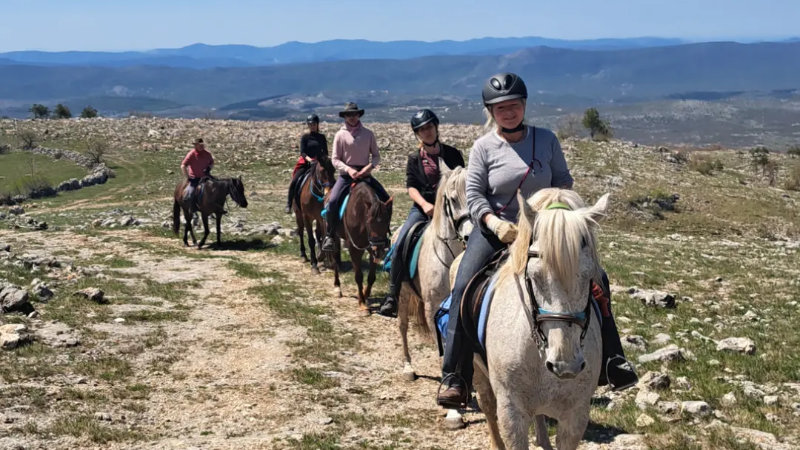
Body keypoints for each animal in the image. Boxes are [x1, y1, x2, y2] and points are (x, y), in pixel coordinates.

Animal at [330, 181, 393, 313]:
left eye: (387, 221)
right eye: (369, 222)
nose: (379, 248)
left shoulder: (372, 250)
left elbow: (371, 277)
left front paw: (365, 294)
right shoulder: (354, 249)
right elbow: (358, 276)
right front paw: (362, 303)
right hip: (332, 235)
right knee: (334, 260)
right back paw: (337, 286)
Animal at [457, 188, 609, 449]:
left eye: (591, 277)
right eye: (535, 275)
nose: (565, 365)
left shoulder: (575, 417)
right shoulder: (511, 413)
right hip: (478, 371)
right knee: (487, 406)